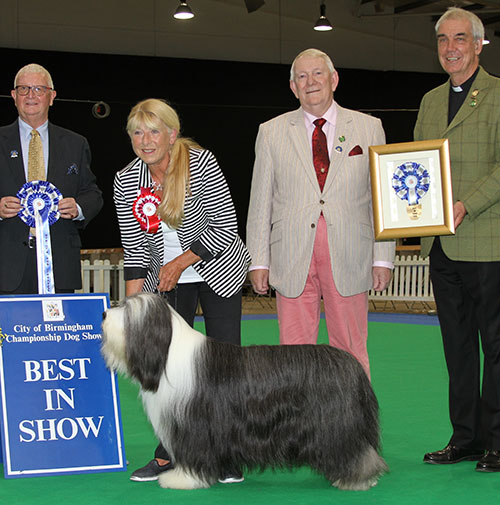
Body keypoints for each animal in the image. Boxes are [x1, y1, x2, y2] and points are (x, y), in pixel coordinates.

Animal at [100, 292, 386, 488]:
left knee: (354, 449)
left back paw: (357, 477)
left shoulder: (194, 423)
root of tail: (352, 364)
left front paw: (182, 479)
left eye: (128, 312)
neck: (167, 355)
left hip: (336, 423)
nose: (103, 315)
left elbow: (193, 453)